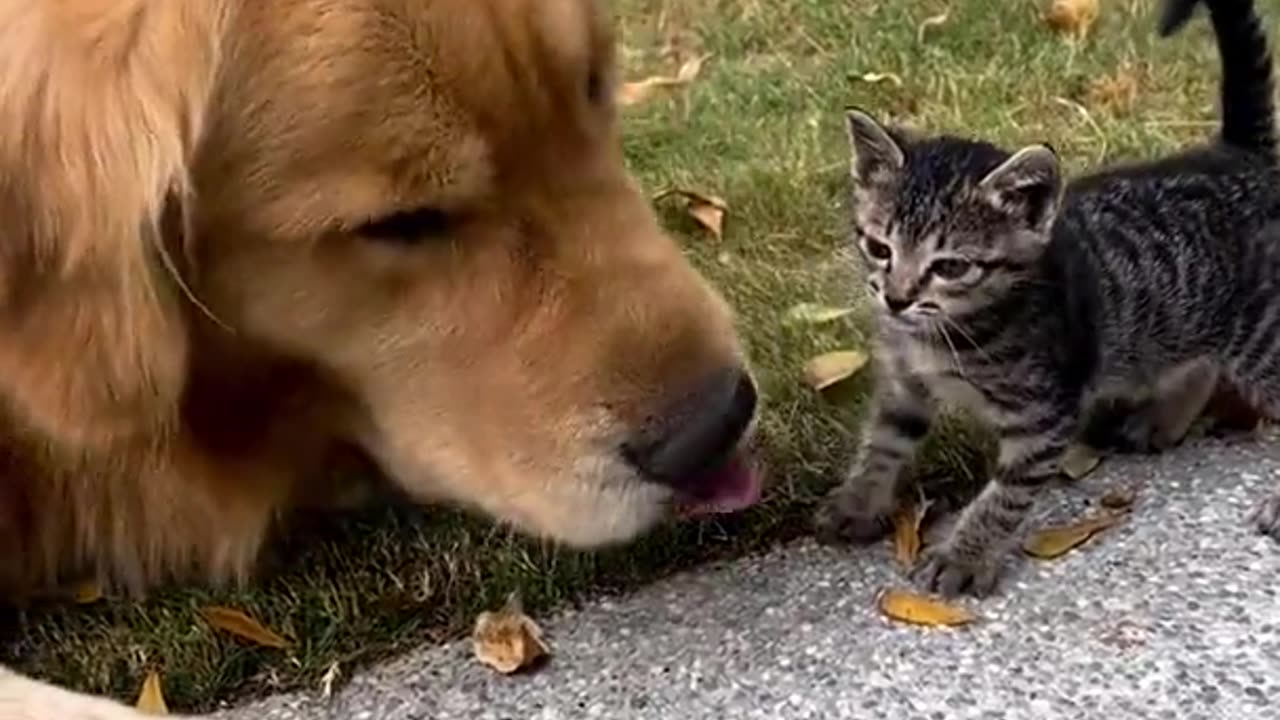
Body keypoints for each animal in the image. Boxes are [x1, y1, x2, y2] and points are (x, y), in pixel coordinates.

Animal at [814, 0, 1280, 594]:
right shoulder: (903, 381)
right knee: (1199, 359)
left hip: (1260, 333)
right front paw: (858, 501)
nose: (895, 299)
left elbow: (1005, 495)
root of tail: (1238, 156)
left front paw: (965, 554)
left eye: (950, 267)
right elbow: (884, 441)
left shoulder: (1045, 415)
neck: (947, 334)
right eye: (879, 248)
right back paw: (1164, 418)